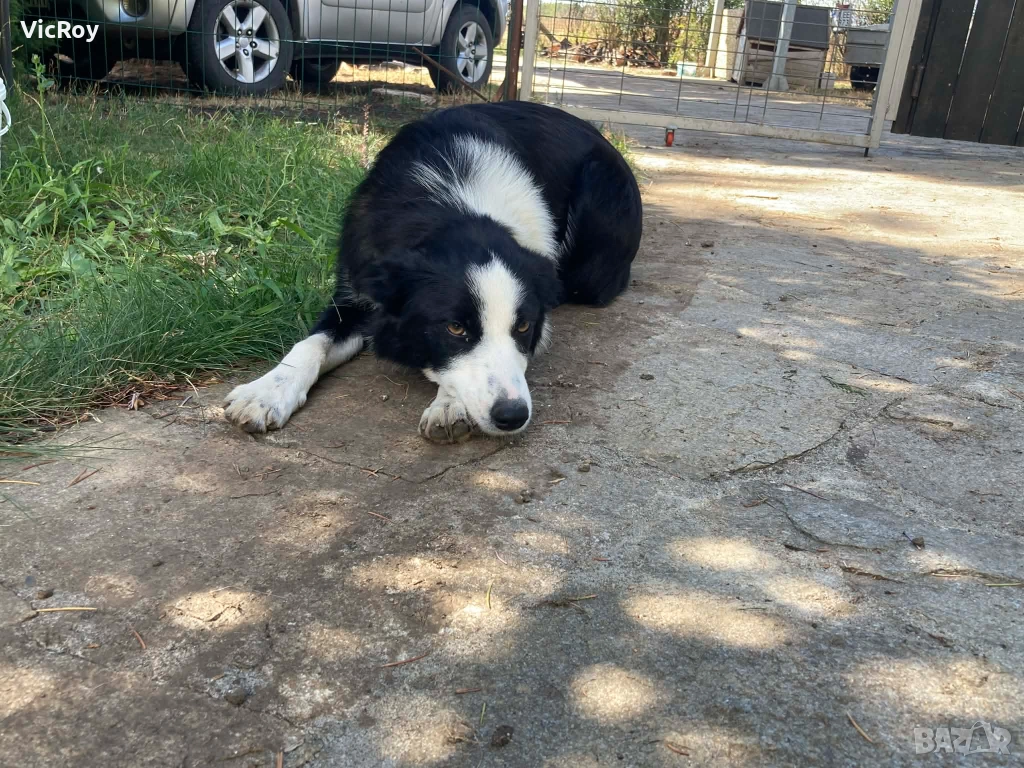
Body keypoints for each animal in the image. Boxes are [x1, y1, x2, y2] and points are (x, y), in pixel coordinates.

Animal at [224, 101, 642, 442]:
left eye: (523, 326)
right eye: (455, 328)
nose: (512, 416)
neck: (452, 206)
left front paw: (449, 404)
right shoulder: (356, 288)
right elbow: (312, 343)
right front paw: (266, 392)